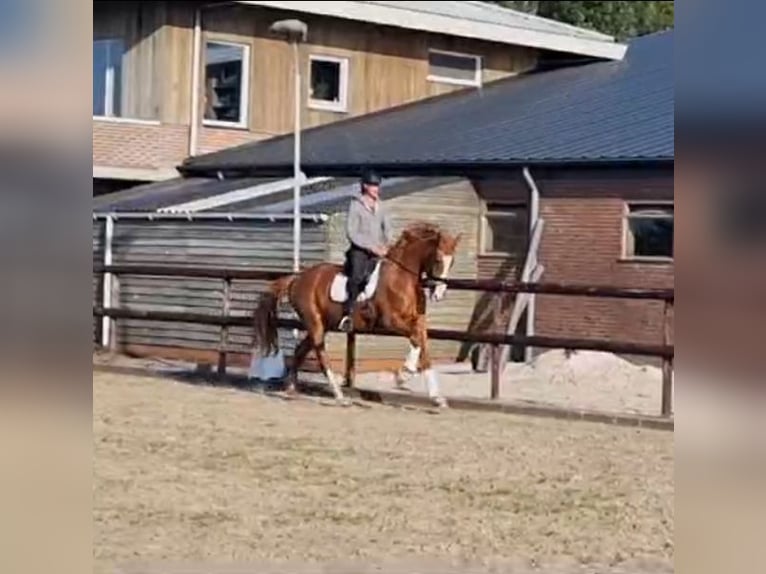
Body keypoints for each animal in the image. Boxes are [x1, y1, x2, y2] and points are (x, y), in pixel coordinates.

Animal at [252, 223, 462, 408]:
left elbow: (424, 349)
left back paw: (291, 390)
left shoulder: (419, 322)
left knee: (300, 351)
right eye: (438, 259)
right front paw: (403, 375)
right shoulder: (391, 321)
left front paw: (437, 398)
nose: (438, 294)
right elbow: (416, 340)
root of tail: (298, 278)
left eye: (452, 262)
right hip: (315, 323)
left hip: (323, 325)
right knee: (321, 355)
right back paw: (339, 397)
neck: (403, 278)